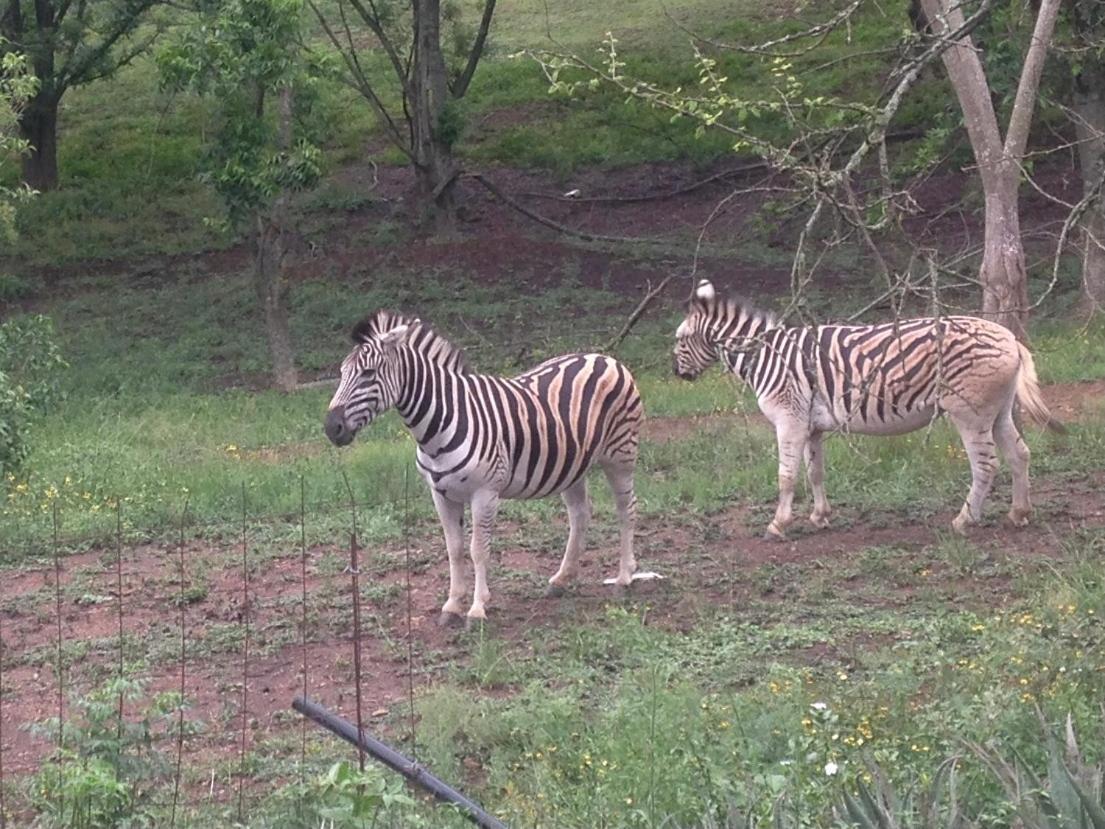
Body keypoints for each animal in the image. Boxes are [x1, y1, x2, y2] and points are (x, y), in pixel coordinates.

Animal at [322, 313, 645, 627]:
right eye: (342, 373)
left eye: (368, 374)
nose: (331, 428)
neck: (438, 426)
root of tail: (603, 357)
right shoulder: (440, 494)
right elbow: (454, 549)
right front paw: (452, 606)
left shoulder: (485, 493)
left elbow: (478, 549)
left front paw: (476, 610)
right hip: (571, 465)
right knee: (580, 513)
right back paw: (562, 580)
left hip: (620, 455)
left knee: (626, 508)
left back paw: (624, 578)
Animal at [671, 280, 1060, 539]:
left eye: (679, 340)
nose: (676, 374)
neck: (764, 354)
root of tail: (1010, 338)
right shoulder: (811, 426)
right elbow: (815, 472)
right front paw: (820, 517)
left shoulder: (788, 419)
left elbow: (786, 475)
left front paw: (778, 525)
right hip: (998, 411)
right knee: (1019, 454)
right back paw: (1019, 513)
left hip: (970, 412)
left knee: (986, 465)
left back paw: (964, 521)